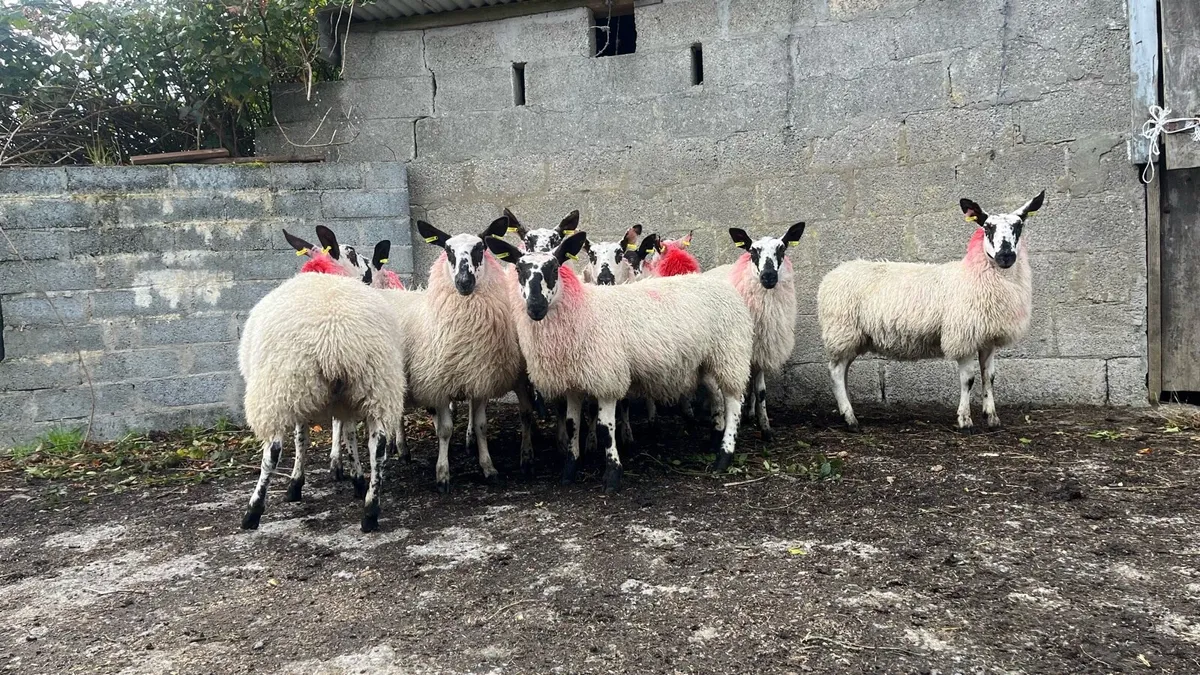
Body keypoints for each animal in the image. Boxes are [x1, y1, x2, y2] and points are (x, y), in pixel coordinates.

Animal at [238, 259, 406, 532]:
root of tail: (337, 340)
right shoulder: (345, 403)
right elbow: (349, 435)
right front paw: (357, 480)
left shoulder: (303, 402)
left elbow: (301, 440)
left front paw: (296, 482)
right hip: (378, 385)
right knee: (378, 448)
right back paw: (370, 510)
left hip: (281, 388)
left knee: (273, 450)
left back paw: (253, 510)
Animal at [389, 217, 536, 492]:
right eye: (448, 250)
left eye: (480, 248)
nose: (464, 282)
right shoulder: (438, 383)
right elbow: (445, 430)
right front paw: (443, 474)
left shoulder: (479, 377)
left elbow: (481, 426)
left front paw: (488, 467)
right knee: (398, 413)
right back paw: (401, 449)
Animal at [483, 228, 753, 492]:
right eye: (519, 270)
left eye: (554, 268)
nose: (535, 307)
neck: (582, 310)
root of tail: (721, 284)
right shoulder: (573, 381)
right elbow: (572, 425)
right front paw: (569, 470)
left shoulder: (607, 377)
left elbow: (605, 429)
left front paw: (612, 475)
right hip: (706, 360)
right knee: (717, 395)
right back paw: (714, 440)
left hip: (731, 352)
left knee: (734, 402)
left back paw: (723, 456)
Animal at [704, 222, 806, 441]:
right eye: (752, 251)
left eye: (782, 249)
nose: (768, 276)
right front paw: (722, 423)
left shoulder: (761, 348)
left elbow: (760, 392)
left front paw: (765, 428)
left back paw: (748, 413)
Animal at [817, 192, 1044, 432]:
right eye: (987, 227)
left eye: (1019, 225)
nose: (1006, 256)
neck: (974, 275)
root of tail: (832, 274)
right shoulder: (962, 336)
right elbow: (968, 379)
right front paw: (965, 420)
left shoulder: (987, 338)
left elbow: (989, 376)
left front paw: (992, 418)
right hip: (842, 330)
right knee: (835, 371)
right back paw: (850, 418)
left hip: (854, 336)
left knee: (843, 370)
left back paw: (846, 411)